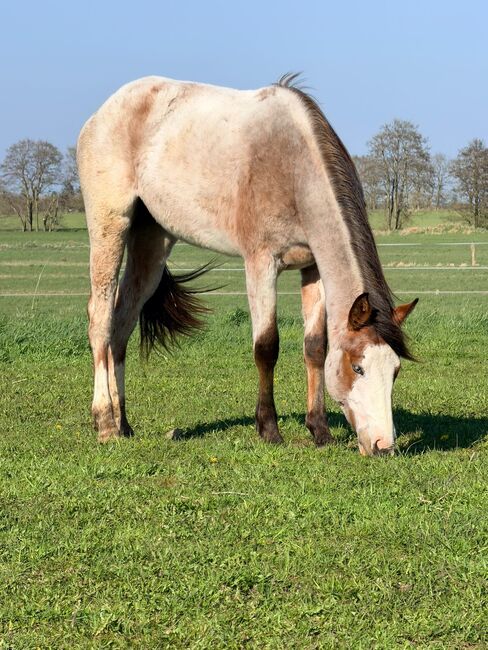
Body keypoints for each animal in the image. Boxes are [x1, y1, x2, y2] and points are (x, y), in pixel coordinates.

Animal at [77, 74, 418, 456]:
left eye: (395, 370)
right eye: (358, 368)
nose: (383, 445)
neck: (294, 167)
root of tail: (104, 111)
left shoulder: (313, 268)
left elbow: (315, 348)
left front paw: (320, 431)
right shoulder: (261, 263)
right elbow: (266, 347)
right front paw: (269, 429)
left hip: (152, 242)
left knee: (121, 324)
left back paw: (124, 424)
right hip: (110, 226)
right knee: (101, 319)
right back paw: (105, 423)